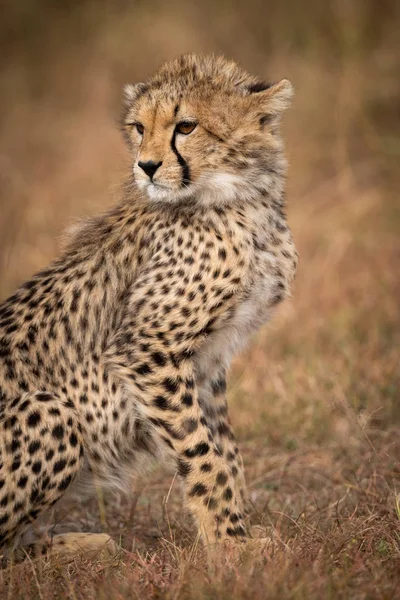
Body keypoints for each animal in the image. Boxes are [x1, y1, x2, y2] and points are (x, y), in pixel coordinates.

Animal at [0, 54, 296, 560]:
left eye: (186, 126)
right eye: (139, 127)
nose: (148, 165)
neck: (238, 196)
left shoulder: (207, 362)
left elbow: (225, 447)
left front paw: (240, 530)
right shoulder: (146, 349)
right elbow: (203, 454)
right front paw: (229, 545)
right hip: (53, 410)